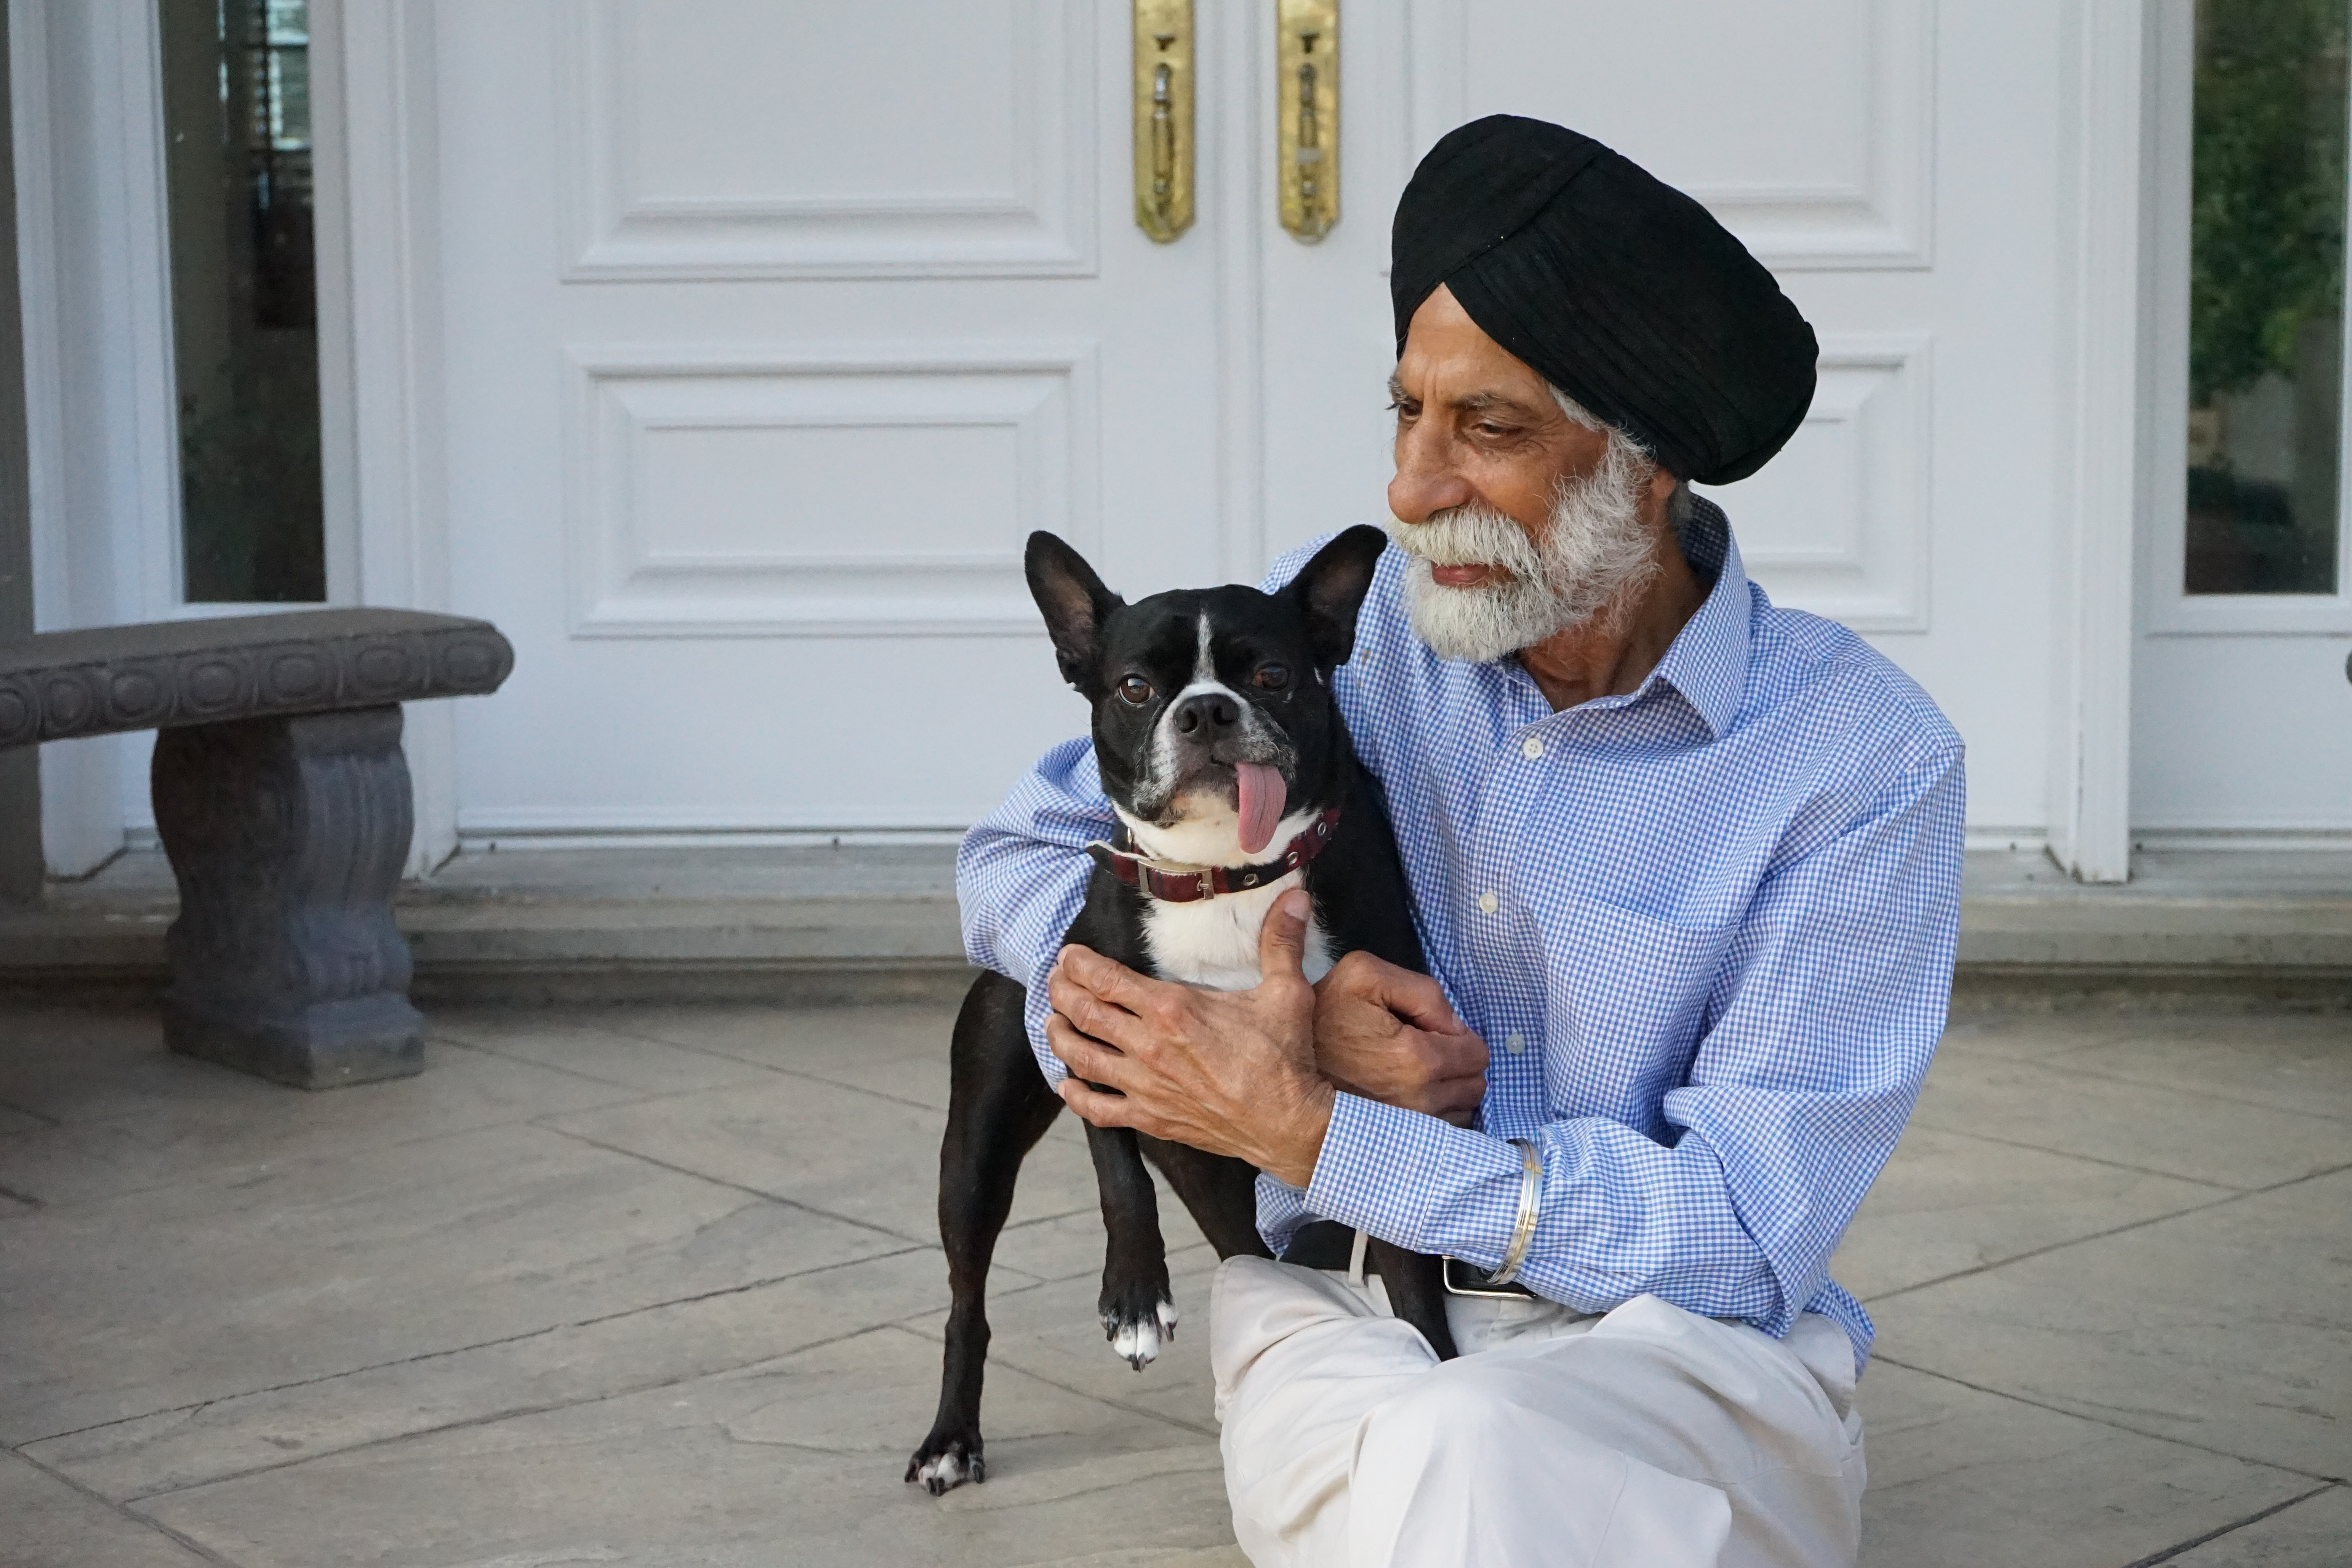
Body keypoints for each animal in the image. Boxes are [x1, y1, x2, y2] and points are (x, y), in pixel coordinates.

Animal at [908, 524, 1458, 1495]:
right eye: (1135, 687)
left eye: (1272, 674)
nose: (1205, 711)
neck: (1225, 875)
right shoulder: (1095, 1033)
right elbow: (1118, 1171)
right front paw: (1133, 1295)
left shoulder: (1387, 1091)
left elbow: (1409, 1265)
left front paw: (1434, 1372)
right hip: (975, 1152)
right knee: (966, 1299)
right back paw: (950, 1437)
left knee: (1253, 1245)